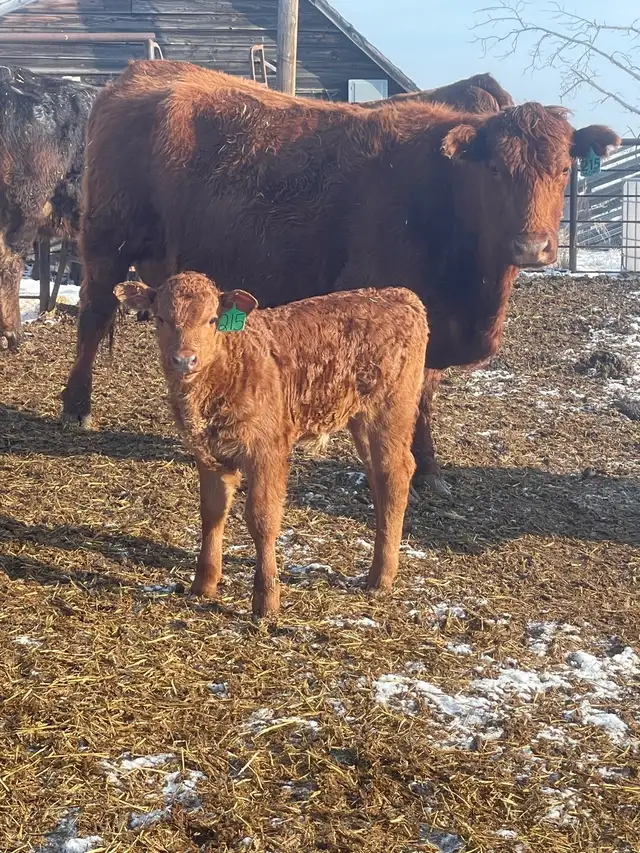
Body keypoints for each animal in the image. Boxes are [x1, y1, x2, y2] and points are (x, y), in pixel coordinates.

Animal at [114, 272, 428, 616]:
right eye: (161, 318)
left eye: (212, 319)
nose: (185, 360)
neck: (230, 366)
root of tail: (400, 294)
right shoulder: (210, 453)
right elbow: (212, 512)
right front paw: (203, 584)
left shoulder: (268, 450)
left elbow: (262, 518)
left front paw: (266, 599)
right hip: (361, 419)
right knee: (378, 477)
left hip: (390, 412)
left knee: (395, 474)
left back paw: (381, 577)